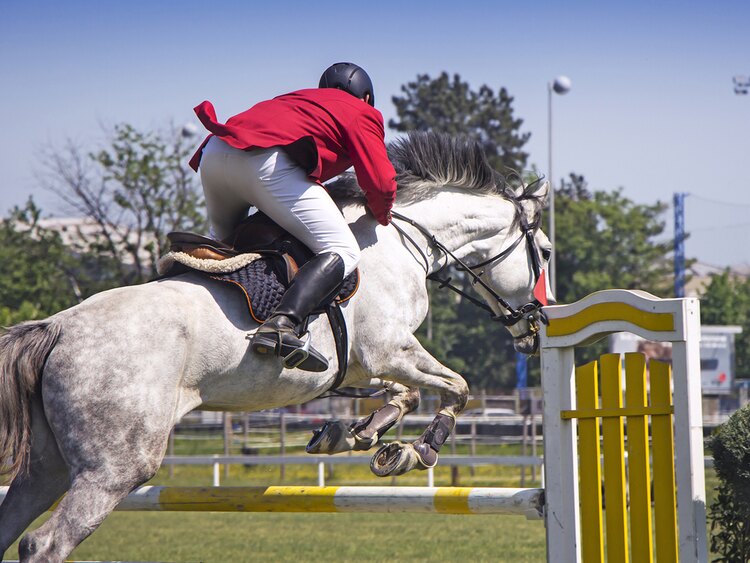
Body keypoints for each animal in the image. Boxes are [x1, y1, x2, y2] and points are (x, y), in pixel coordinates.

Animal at [0, 133, 552, 563]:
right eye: (545, 252)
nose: (536, 326)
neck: (398, 242)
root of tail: (56, 328)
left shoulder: (361, 365)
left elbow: (404, 395)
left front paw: (353, 435)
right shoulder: (390, 350)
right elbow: (456, 388)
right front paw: (415, 451)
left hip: (46, 466)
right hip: (114, 467)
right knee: (45, 544)